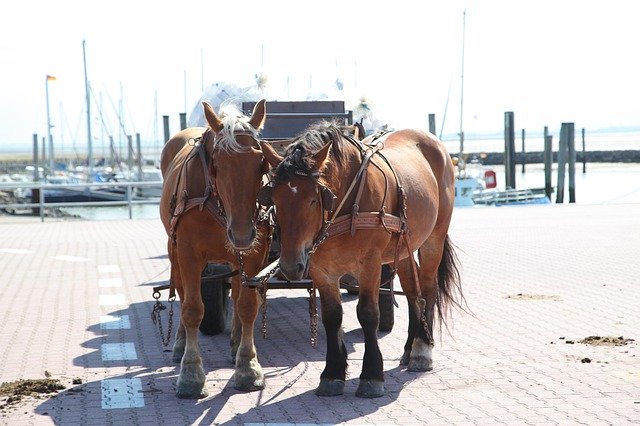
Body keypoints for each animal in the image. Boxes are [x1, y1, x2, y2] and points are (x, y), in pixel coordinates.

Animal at [161, 100, 272, 400]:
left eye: (261, 162)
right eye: (218, 164)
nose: (243, 233)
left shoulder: (254, 254)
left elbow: (247, 306)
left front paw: (248, 366)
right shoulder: (188, 253)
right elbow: (192, 309)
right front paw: (190, 373)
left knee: (236, 294)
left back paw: (235, 344)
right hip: (174, 250)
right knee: (181, 291)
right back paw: (179, 345)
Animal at [262, 121, 464, 398]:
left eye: (313, 199)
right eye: (275, 199)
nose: (291, 267)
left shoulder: (370, 263)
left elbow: (368, 314)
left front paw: (371, 375)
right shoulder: (320, 269)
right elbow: (332, 317)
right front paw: (332, 373)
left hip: (434, 238)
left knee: (428, 290)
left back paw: (422, 350)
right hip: (403, 246)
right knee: (414, 292)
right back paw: (409, 348)